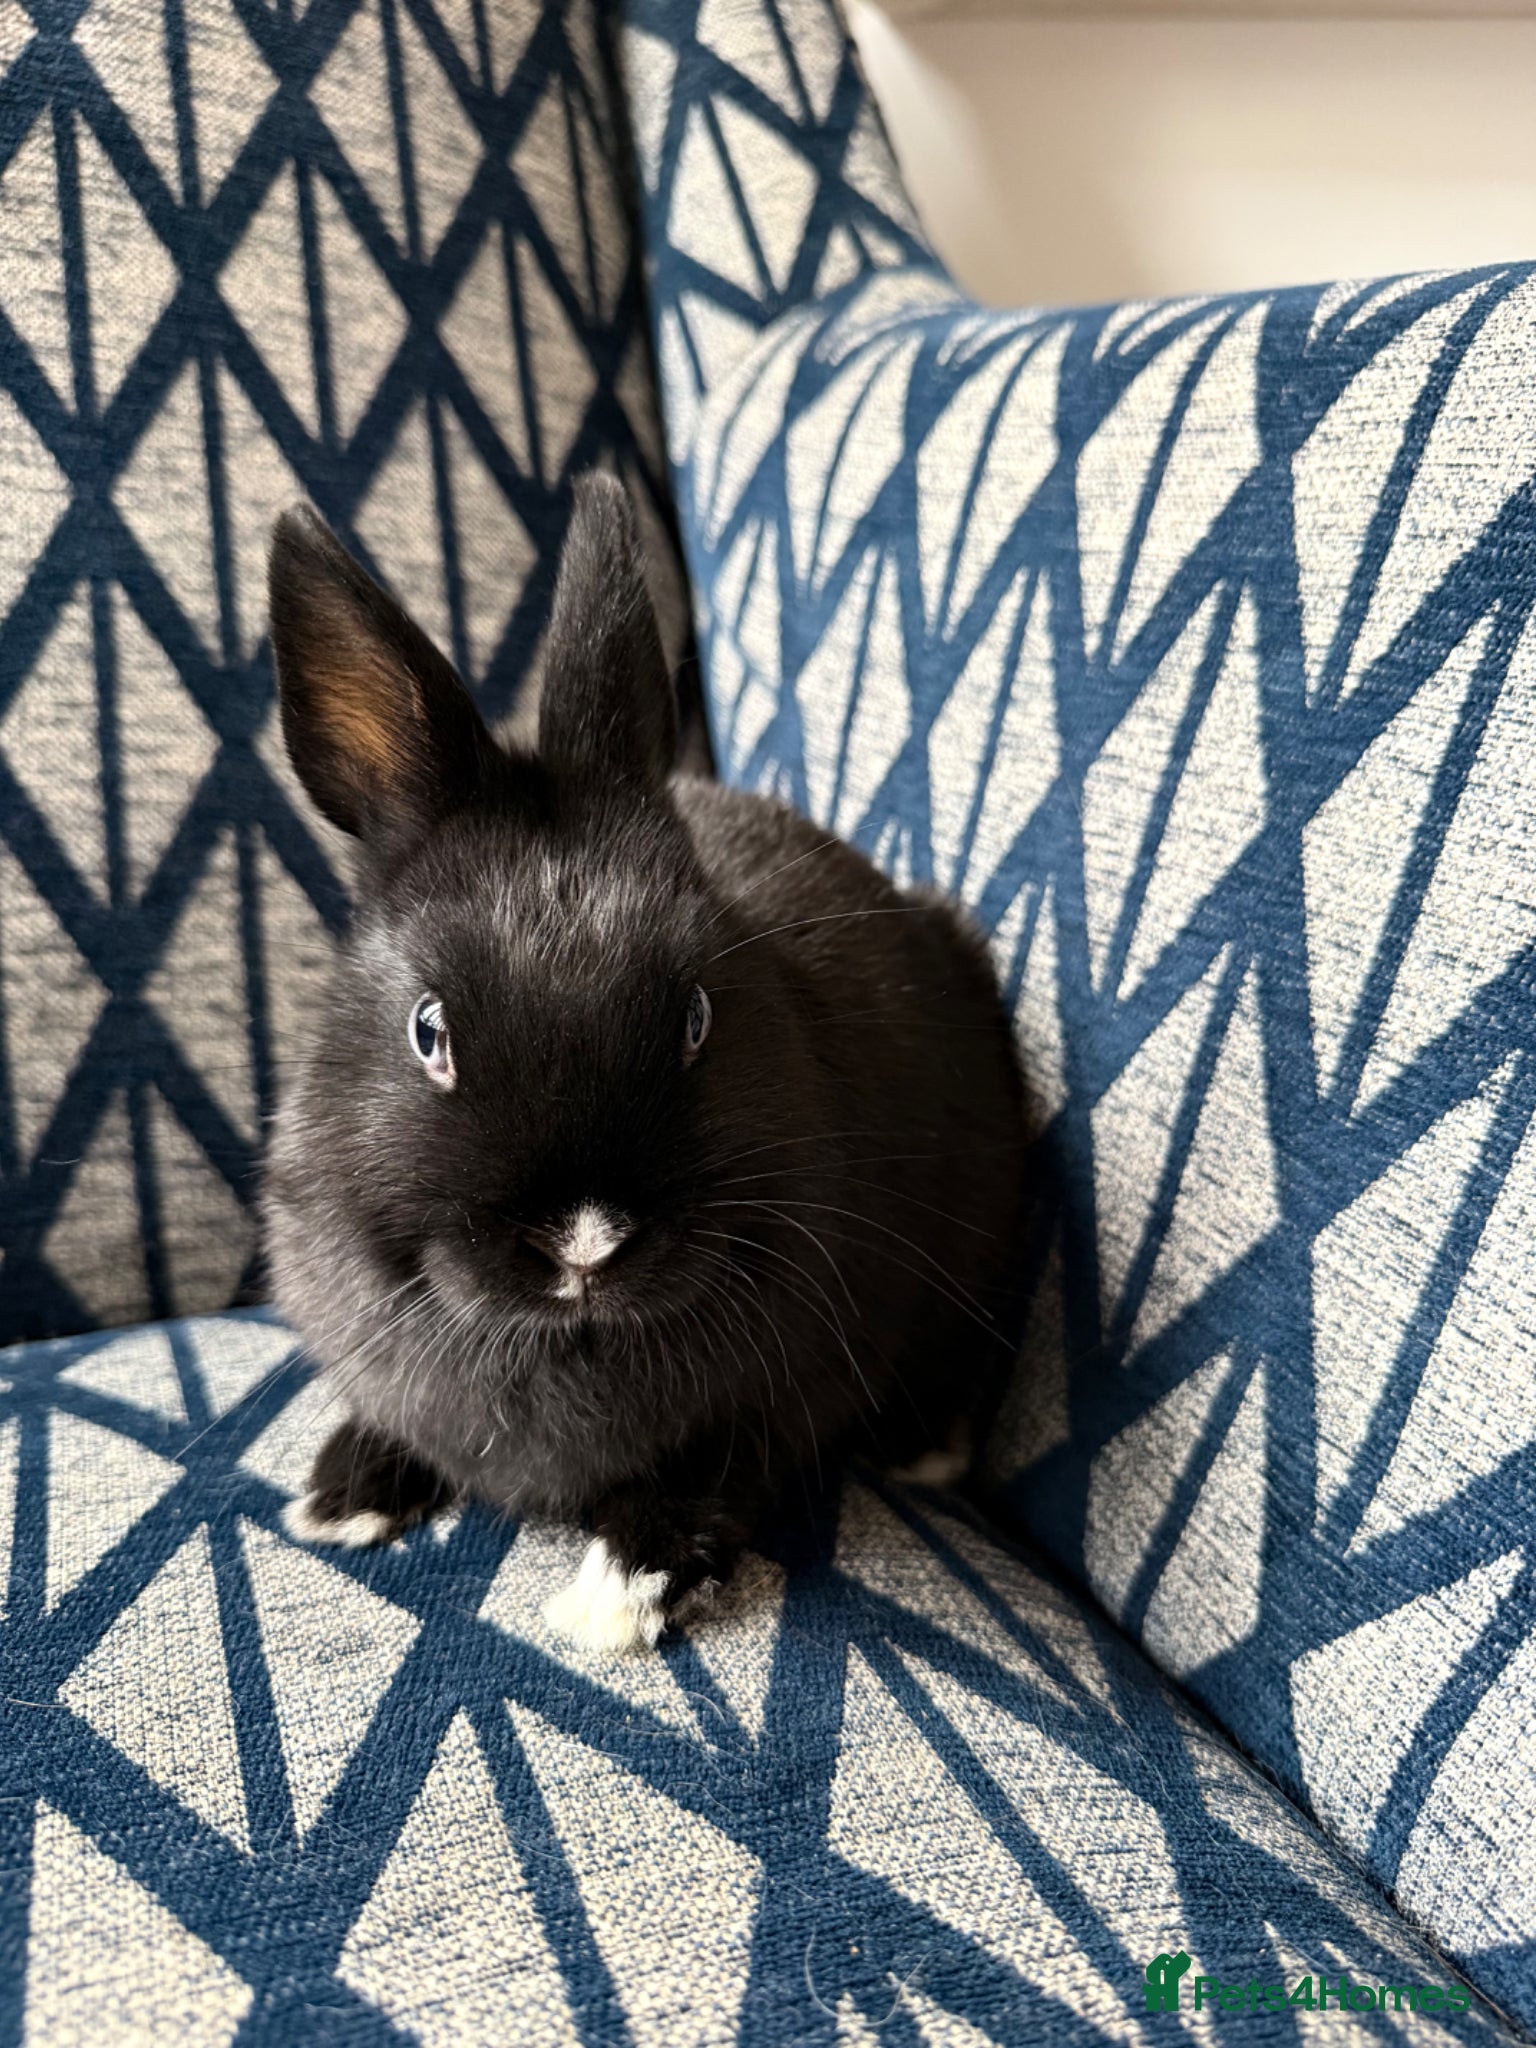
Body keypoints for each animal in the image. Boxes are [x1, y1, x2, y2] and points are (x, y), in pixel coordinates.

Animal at [263, 472, 1027, 1652]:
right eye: (429, 1031)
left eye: (699, 1018)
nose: (584, 1241)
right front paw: (342, 1496)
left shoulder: (782, 1389)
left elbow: (708, 1482)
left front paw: (612, 1597)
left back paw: (923, 1447)